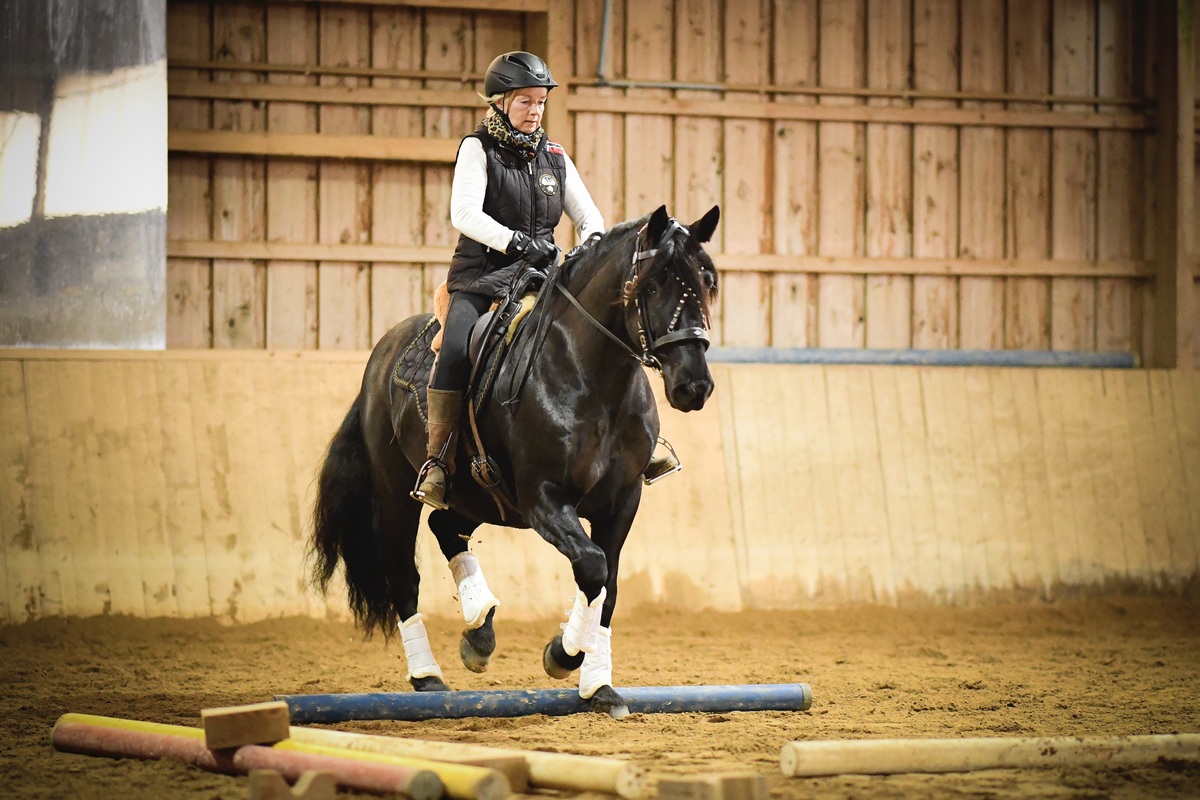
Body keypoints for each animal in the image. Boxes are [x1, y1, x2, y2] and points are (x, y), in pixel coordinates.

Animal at [312, 203, 720, 714]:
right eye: (652, 284)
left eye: (707, 282)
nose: (694, 385)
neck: (591, 377)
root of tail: (383, 353)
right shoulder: (543, 499)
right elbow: (592, 566)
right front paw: (562, 655)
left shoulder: (623, 500)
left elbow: (608, 587)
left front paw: (598, 686)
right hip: (396, 495)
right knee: (405, 575)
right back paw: (428, 675)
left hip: (481, 496)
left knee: (445, 527)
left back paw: (479, 628)